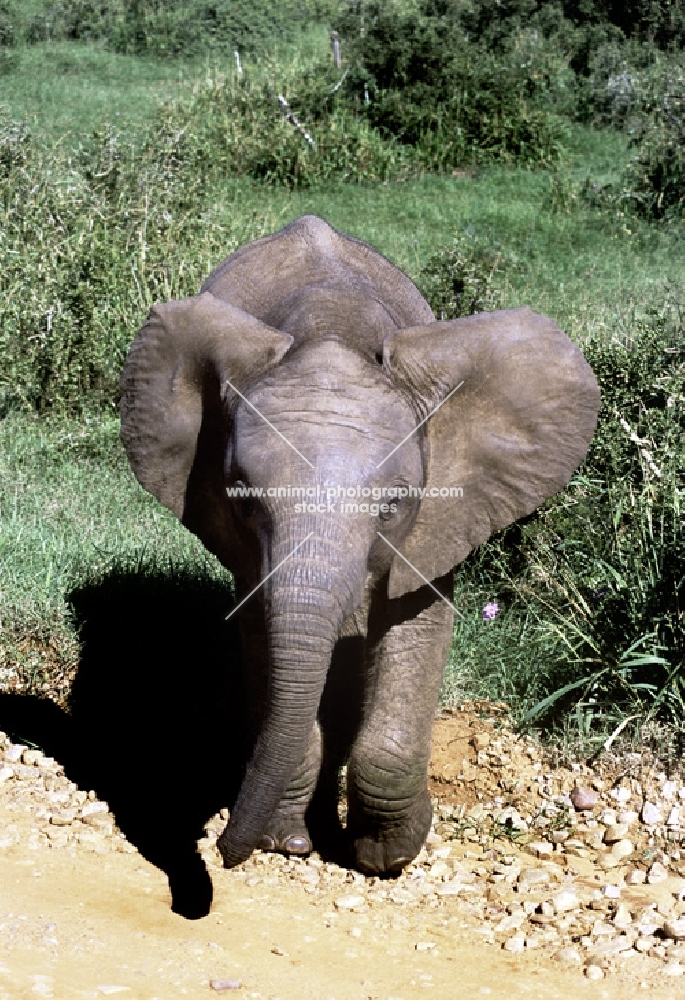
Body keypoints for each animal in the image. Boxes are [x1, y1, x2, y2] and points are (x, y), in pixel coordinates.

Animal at [119, 213, 600, 876]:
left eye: (393, 506)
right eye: (245, 501)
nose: (224, 852)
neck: (333, 330)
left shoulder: (440, 512)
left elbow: (415, 619)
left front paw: (389, 855)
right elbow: (265, 635)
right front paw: (289, 842)